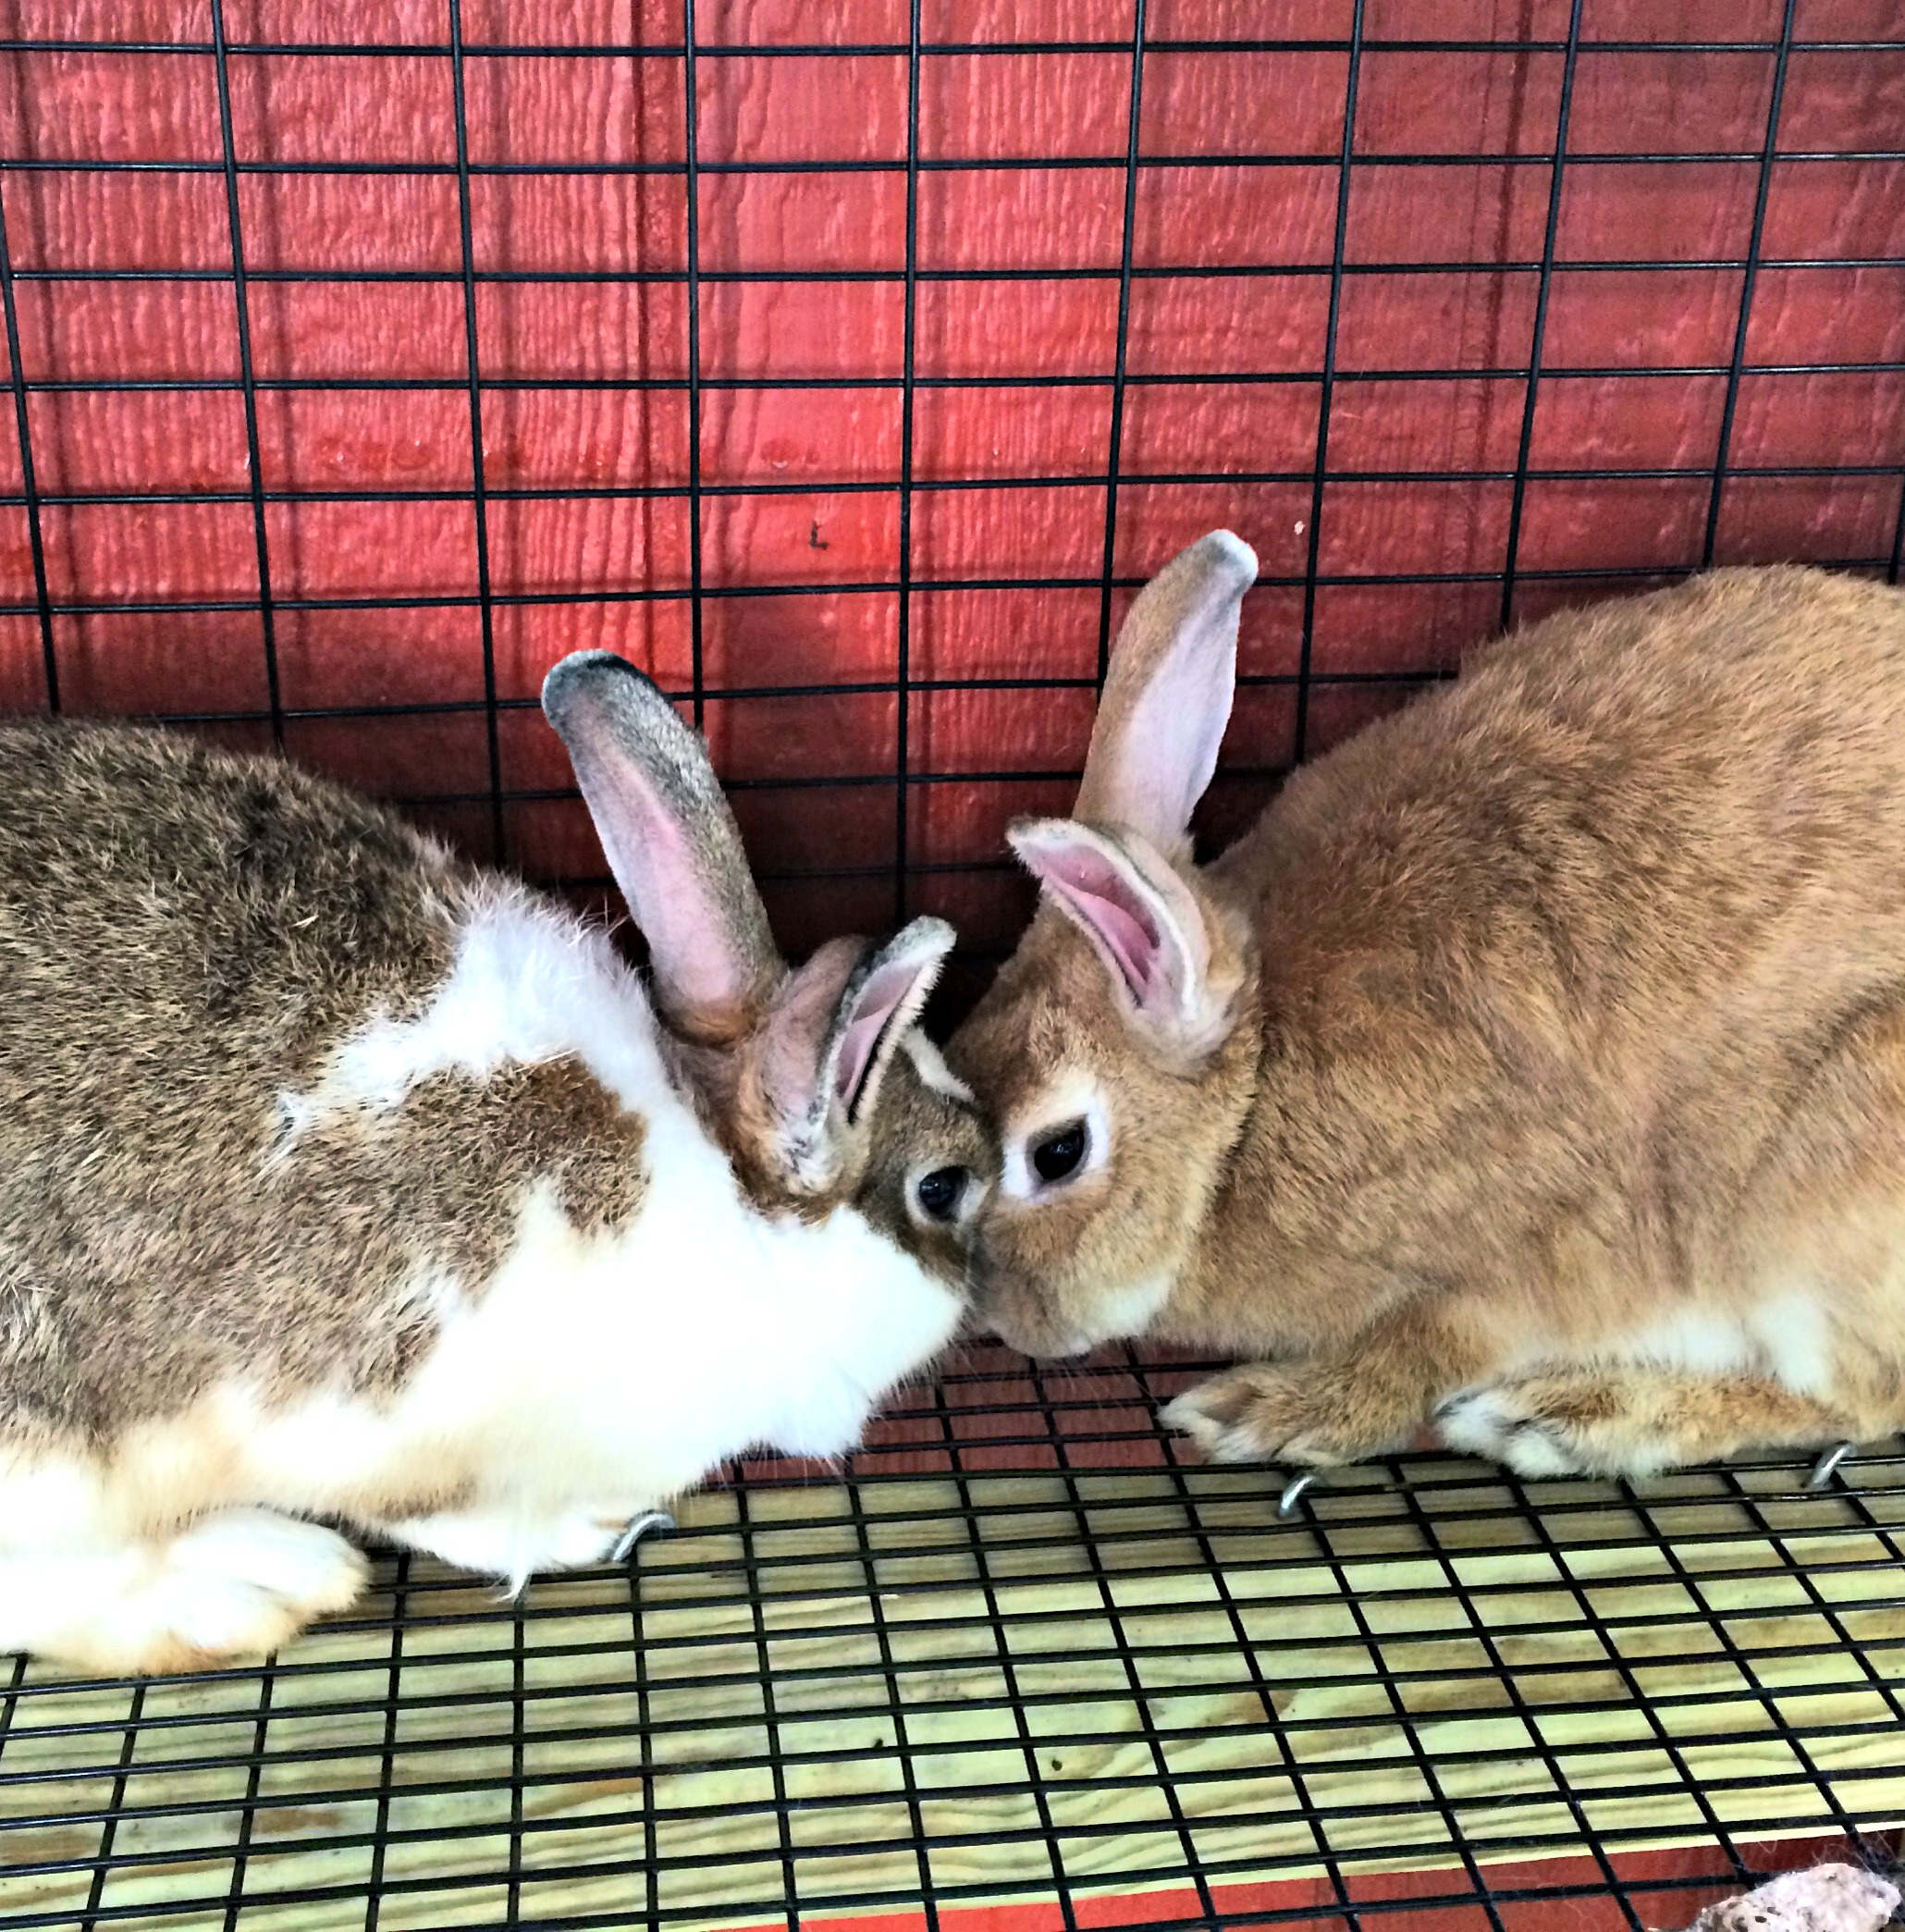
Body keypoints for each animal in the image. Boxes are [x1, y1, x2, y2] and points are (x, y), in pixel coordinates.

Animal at [0, 653, 989, 1677]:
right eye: (943, 1188)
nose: (987, 1282)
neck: (720, 1198)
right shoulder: (383, 1427)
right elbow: (443, 1515)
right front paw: (581, 1529)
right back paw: (246, 1583)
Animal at [950, 529, 1905, 1475]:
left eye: (1058, 1152)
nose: (1006, 1320)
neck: (1248, 1106)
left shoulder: (1518, 1259)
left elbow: (1419, 1353)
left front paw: (1273, 1413)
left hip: (1814, 1208)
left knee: (1862, 1400)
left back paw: (1574, 1418)